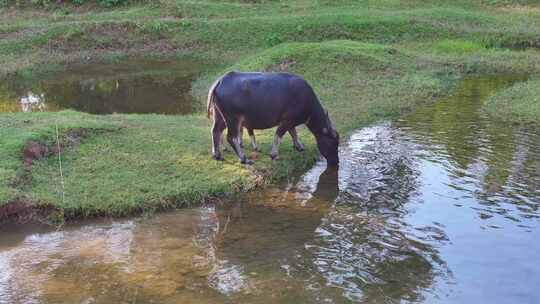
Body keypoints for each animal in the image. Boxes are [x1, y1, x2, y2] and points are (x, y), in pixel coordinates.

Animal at [207, 71, 338, 165]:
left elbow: (293, 133)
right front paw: (274, 154)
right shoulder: (286, 121)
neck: (306, 101)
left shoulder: (291, 122)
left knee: (215, 131)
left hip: (220, 117)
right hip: (233, 119)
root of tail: (221, 80)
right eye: (333, 142)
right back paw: (244, 159)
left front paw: (299, 146)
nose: (336, 162)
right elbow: (278, 135)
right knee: (231, 137)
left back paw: (217, 155)